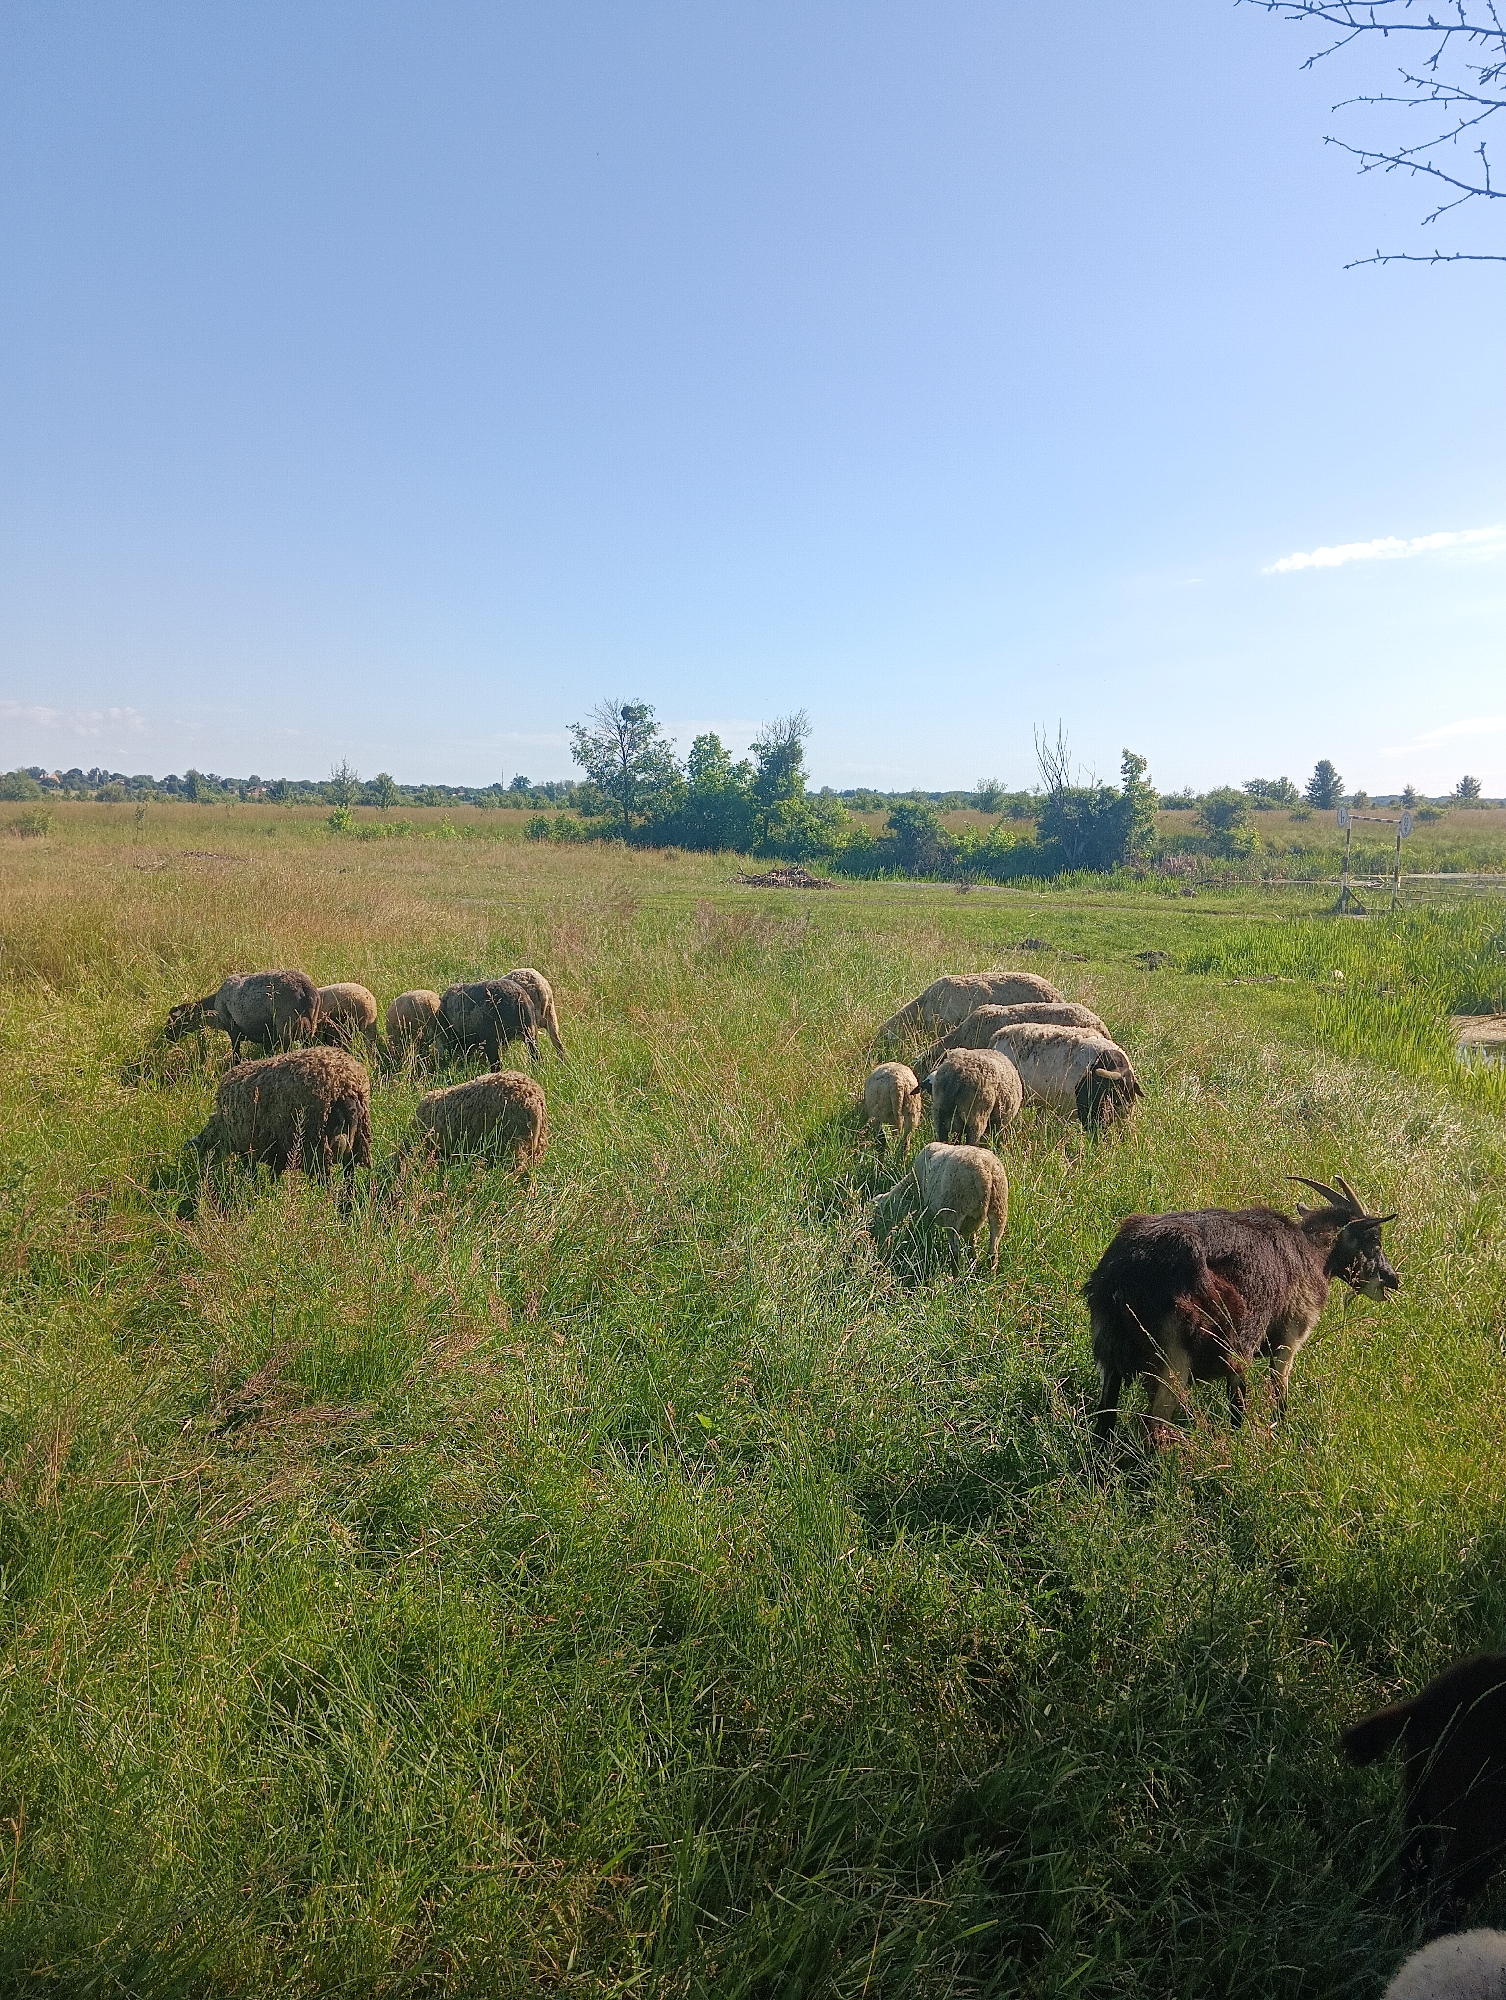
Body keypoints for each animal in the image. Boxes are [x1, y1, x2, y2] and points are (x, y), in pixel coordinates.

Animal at [165, 970, 320, 1059]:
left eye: (177, 1020)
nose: (167, 1034)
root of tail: (305, 989)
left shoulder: (233, 1029)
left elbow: (236, 1054)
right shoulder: (268, 1035)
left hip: (286, 1026)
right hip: (310, 1027)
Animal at [188, 1047, 372, 1184]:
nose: (200, 1173)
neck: (219, 1127)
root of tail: (345, 1086)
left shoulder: (246, 1146)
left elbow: (254, 1173)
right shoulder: (278, 1152)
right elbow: (274, 1173)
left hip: (317, 1145)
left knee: (327, 1183)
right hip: (356, 1145)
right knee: (349, 1182)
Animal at [871, 1142, 1010, 1272]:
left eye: (878, 1217)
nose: (875, 1241)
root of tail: (986, 1172)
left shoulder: (926, 1211)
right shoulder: (970, 1223)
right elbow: (972, 1244)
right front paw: (972, 1266)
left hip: (954, 1213)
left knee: (956, 1254)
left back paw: (955, 1278)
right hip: (999, 1208)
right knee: (993, 1252)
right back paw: (990, 1277)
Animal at [1086, 1174, 1400, 1442]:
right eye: (1374, 1240)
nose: (1393, 1279)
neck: (1313, 1254)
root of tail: (1125, 1273)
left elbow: (1237, 1400)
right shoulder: (1288, 1335)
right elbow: (1275, 1389)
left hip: (1110, 1354)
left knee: (1105, 1420)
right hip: (1173, 1358)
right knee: (1153, 1426)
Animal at [1345, 1654, 1506, 1922]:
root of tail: (1423, 1706)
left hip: (1421, 1787)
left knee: (1414, 1853)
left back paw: (1405, 1915)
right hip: (1476, 1813)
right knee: (1453, 1882)